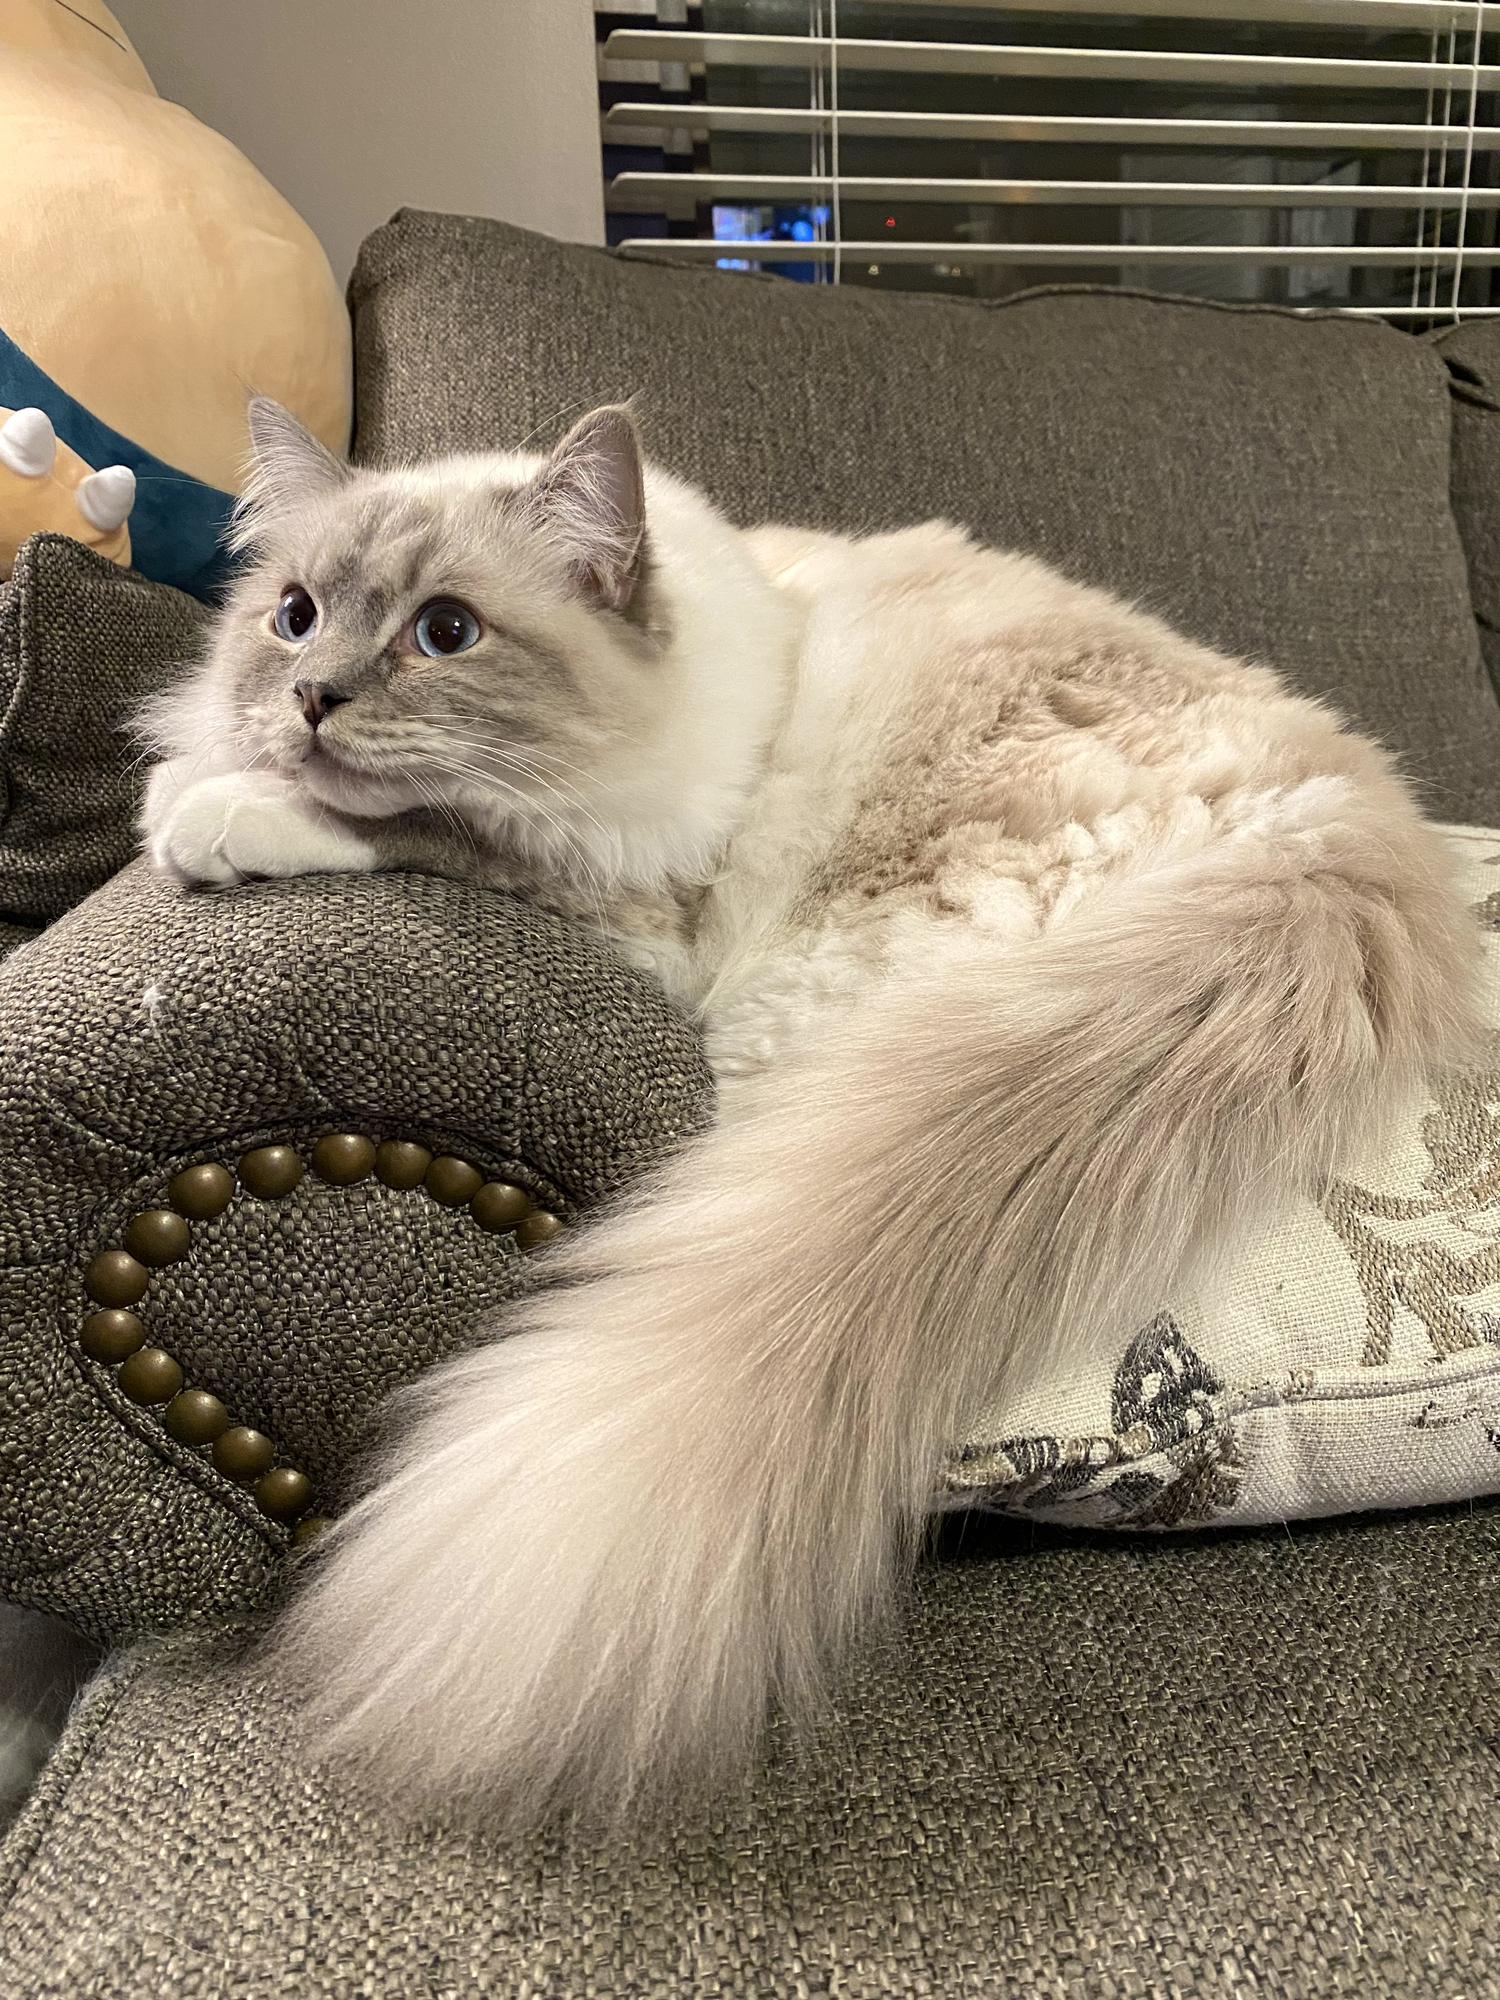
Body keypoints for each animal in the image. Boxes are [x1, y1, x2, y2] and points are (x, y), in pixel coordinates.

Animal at [140, 397, 1478, 1827]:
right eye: (293, 616)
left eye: (445, 633)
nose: (309, 698)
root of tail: (1336, 837)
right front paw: (201, 777)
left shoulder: (632, 909)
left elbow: (428, 834)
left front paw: (211, 812)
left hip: (799, 1012)